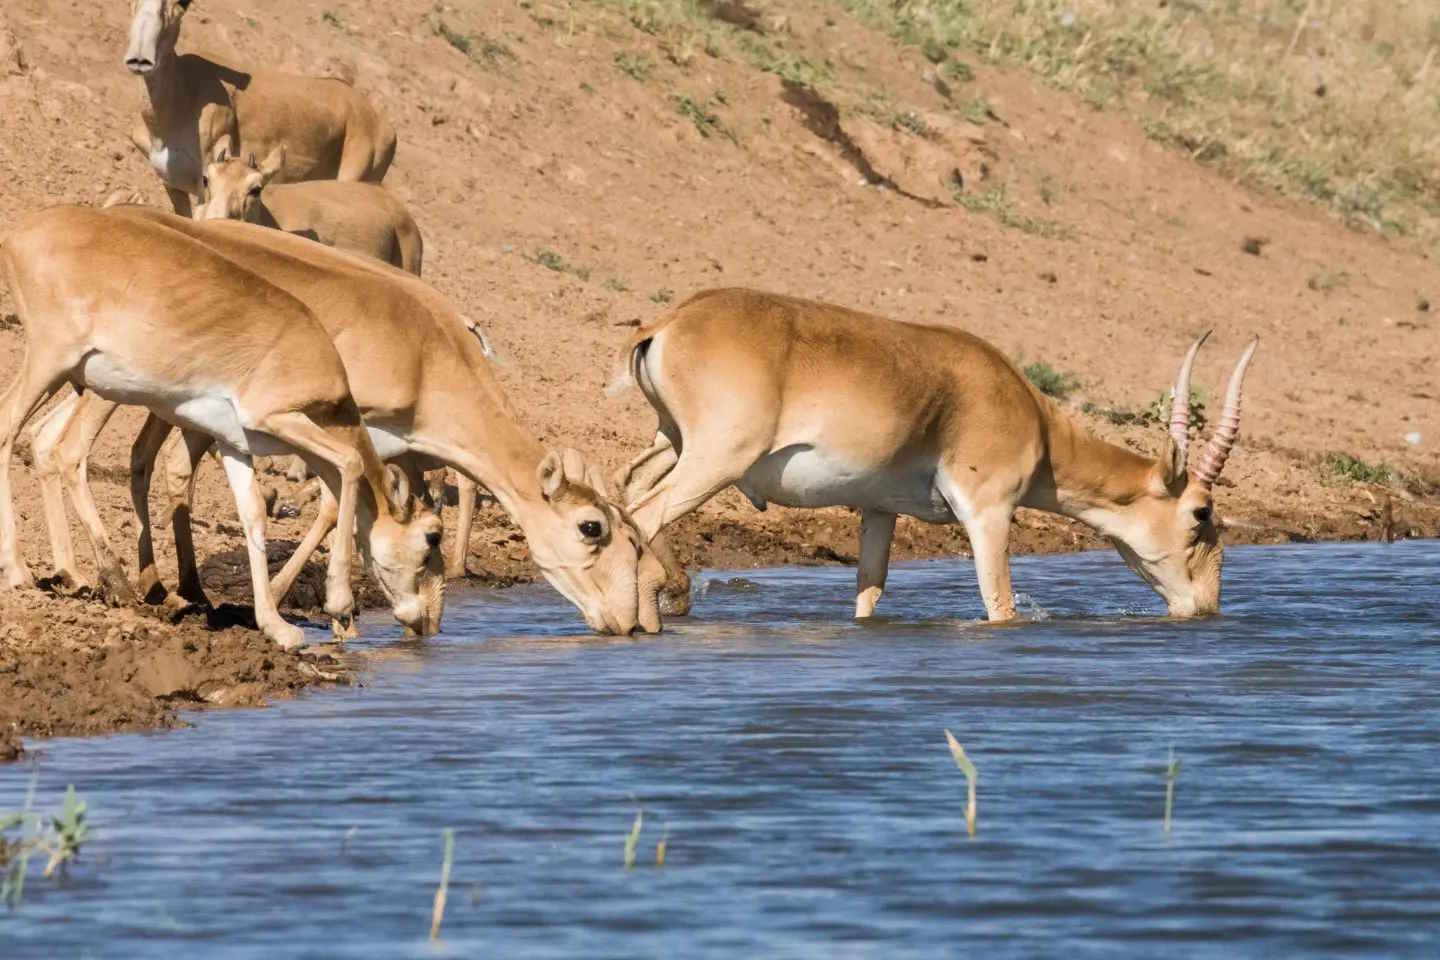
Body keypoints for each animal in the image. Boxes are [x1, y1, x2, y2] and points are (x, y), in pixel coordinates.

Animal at [0, 207, 443, 650]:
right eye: (431, 538)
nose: (424, 622)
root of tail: (20, 234)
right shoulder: (277, 418)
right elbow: (351, 462)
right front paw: (339, 603)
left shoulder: (234, 444)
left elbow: (253, 515)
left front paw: (276, 626)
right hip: (52, 362)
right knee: (21, 432)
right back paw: (34, 572)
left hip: (69, 378)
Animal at [619, 289, 1261, 618]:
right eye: (1201, 513)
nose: (1205, 606)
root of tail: (668, 322)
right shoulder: (989, 512)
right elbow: (999, 605)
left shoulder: (879, 511)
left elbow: (869, 592)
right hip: (715, 460)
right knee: (643, 515)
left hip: (672, 444)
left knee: (627, 492)